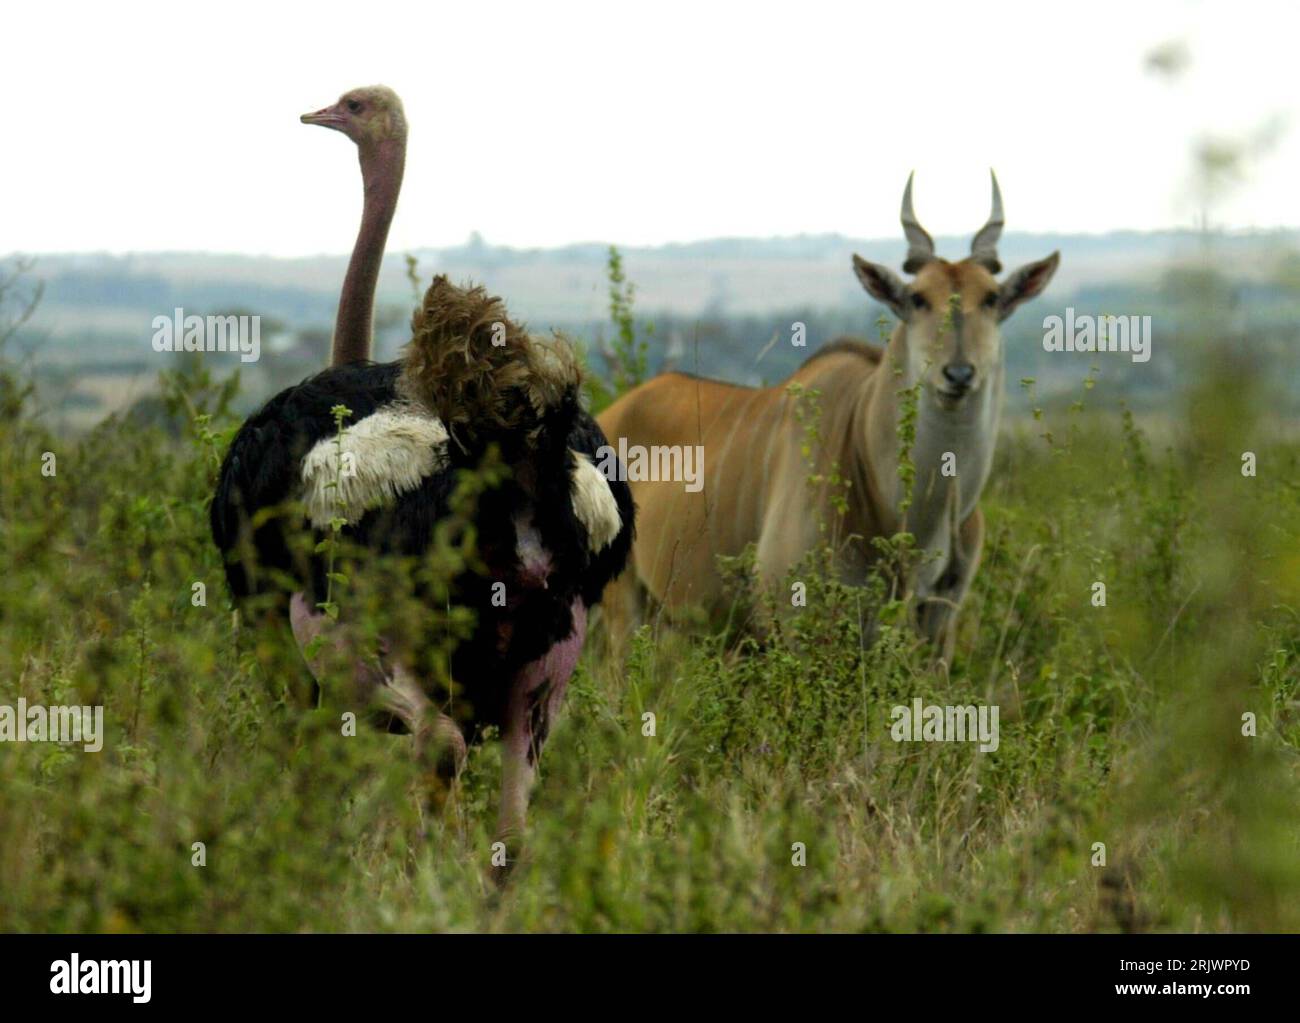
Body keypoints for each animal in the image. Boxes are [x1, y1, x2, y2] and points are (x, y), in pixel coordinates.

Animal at [595, 172, 1055, 660]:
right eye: (917, 299)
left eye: (991, 298)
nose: (959, 373)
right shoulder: (796, 625)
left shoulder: (938, 628)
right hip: (625, 606)